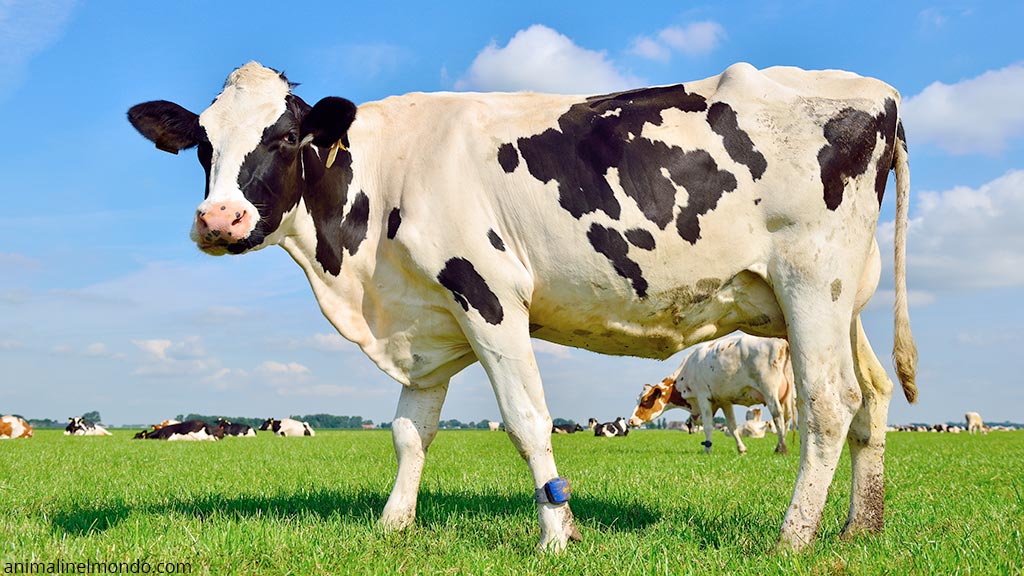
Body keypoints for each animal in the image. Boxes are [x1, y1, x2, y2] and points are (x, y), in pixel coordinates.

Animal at [629, 333, 796, 455]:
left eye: (644, 401)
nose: (630, 421)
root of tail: (781, 341)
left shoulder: (703, 397)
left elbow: (708, 426)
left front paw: (707, 449)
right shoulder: (724, 401)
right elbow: (732, 426)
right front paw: (741, 449)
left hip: (769, 391)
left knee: (778, 416)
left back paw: (782, 448)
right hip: (787, 396)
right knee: (787, 418)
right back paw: (779, 445)